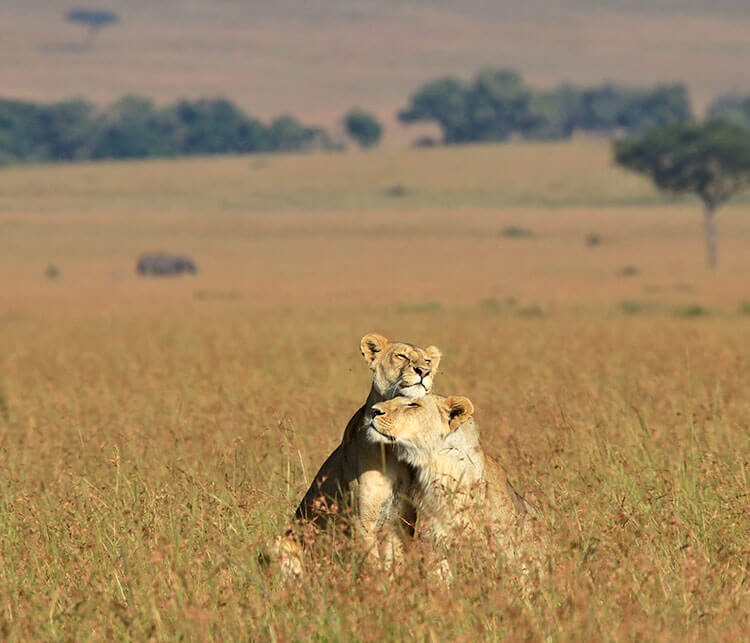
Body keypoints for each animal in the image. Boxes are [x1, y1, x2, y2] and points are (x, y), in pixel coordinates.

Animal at [286, 334, 444, 572]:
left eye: (427, 361)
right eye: (401, 355)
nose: (424, 372)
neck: (393, 448)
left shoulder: (400, 522)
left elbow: (394, 564)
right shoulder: (363, 521)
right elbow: (374, 566)